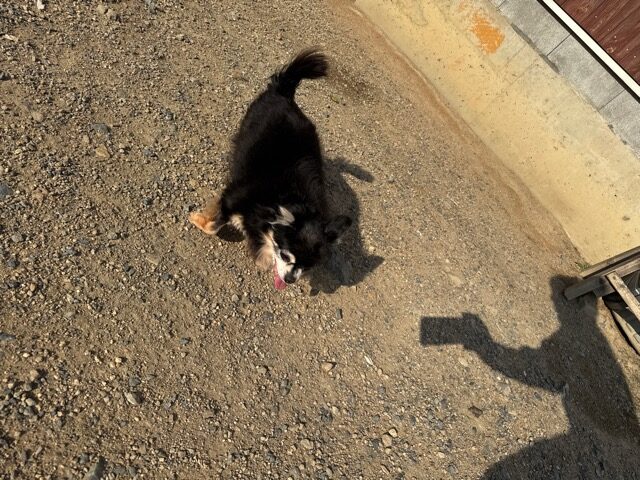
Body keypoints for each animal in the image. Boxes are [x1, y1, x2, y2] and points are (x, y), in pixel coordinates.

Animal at [189, 48, 352, 290]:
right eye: (285, 256)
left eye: (307, 266)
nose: (290, 280)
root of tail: (285, 93)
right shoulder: (232, 198)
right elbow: (214, 225)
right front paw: (199, 220)